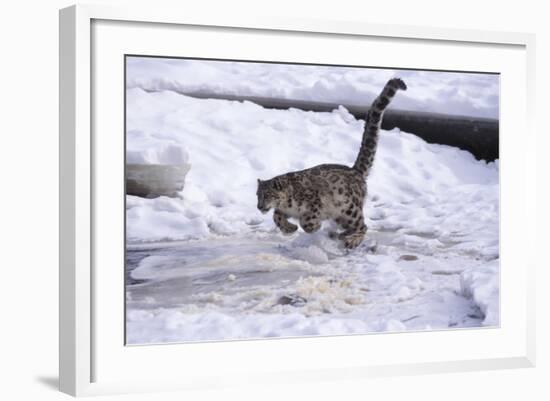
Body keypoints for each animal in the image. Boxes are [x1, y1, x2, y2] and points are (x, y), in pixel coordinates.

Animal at [256, 76, 408, 248]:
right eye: (257, 195)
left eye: (267, 194)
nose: (259, 206)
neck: (289, 206)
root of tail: (355, 171)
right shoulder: (283, 211)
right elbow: (276, 216)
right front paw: (289, 228)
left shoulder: (313, 201)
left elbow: (307, 220)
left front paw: (313, 226)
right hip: (343, 214)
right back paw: (341, 234)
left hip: (349, 209)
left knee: (362, 225)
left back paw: (351, 240)